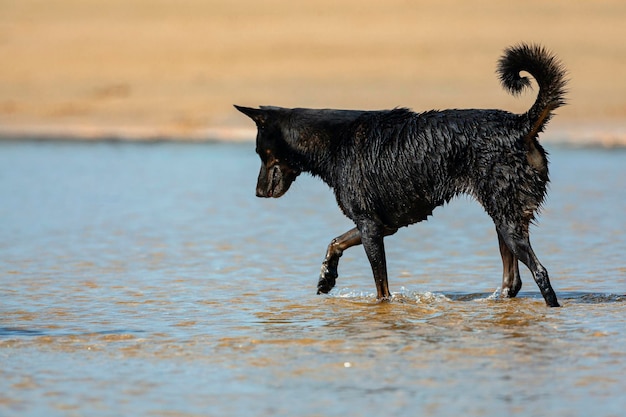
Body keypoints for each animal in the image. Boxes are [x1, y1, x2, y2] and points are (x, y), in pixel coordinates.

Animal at [234, 44, 564, 308]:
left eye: (260, 153)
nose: (258, 193)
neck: (332, 142)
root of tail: (520, 125)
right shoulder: (381, 225)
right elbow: (335, 242)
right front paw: (326, 277)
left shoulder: (370, 227)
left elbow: (382, 289)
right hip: (502, 219)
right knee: (513, 281)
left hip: (508, 220)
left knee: (540, 273)